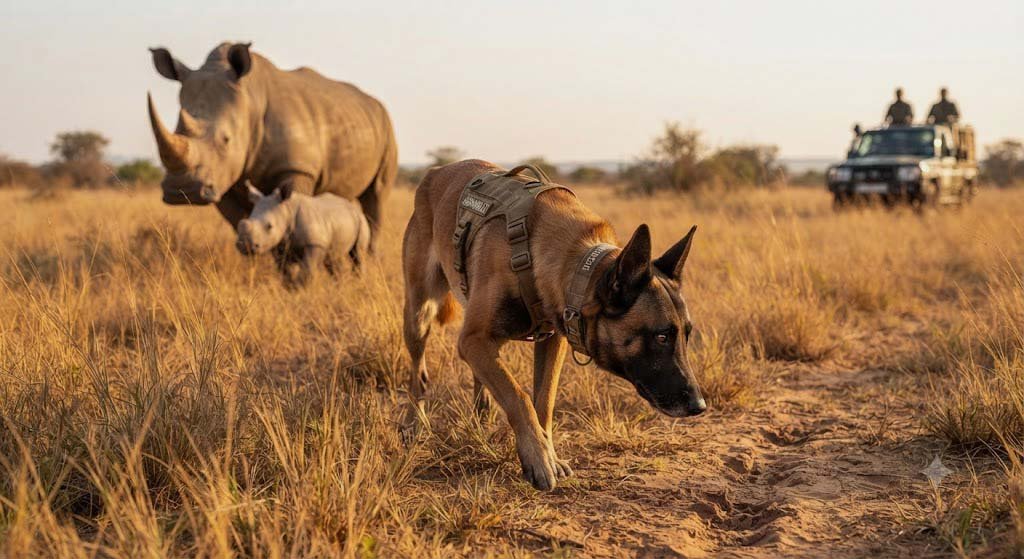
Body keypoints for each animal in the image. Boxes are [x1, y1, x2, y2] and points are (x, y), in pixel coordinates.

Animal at [147, 42, 396, 251]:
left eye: (226, 140)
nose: (182, 191)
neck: (249, 103)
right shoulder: (222, 176)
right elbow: (239, 221)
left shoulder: (297, 168)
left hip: (386, 126)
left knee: (376, 197)